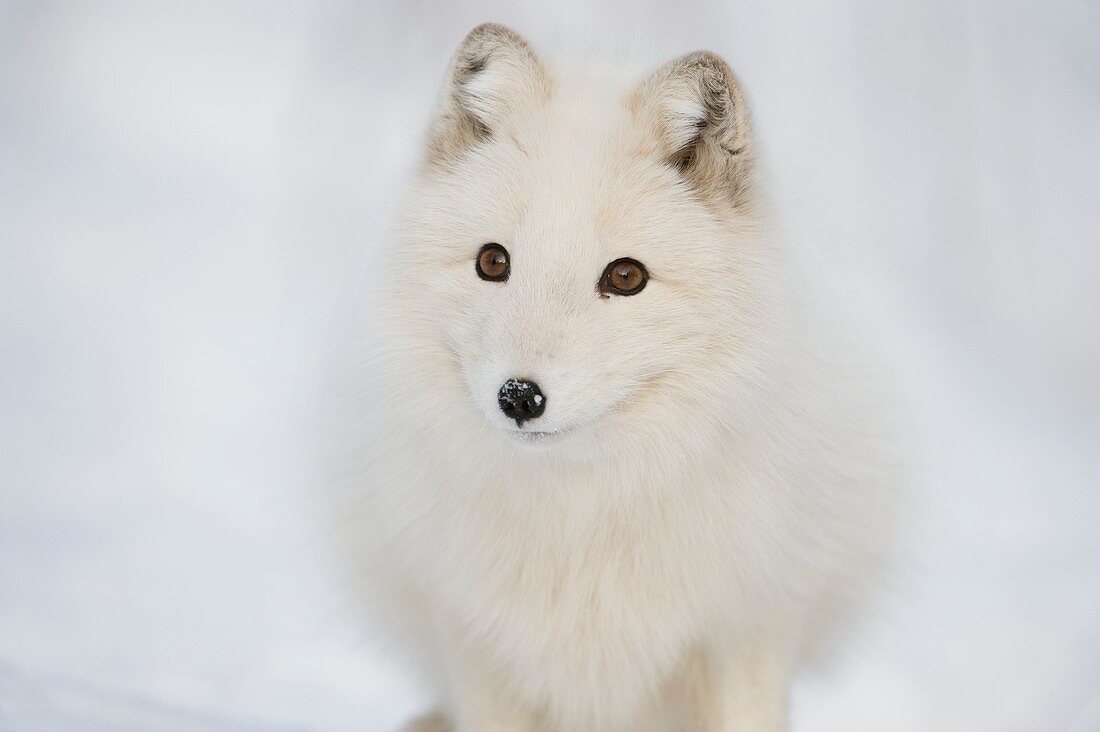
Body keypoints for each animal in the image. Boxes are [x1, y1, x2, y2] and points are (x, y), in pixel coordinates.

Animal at [323, 22, 893, 730]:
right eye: (492, 261)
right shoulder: (477, 642)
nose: (519, 396)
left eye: (625, 276)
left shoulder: (748, 628)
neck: (584, 511)